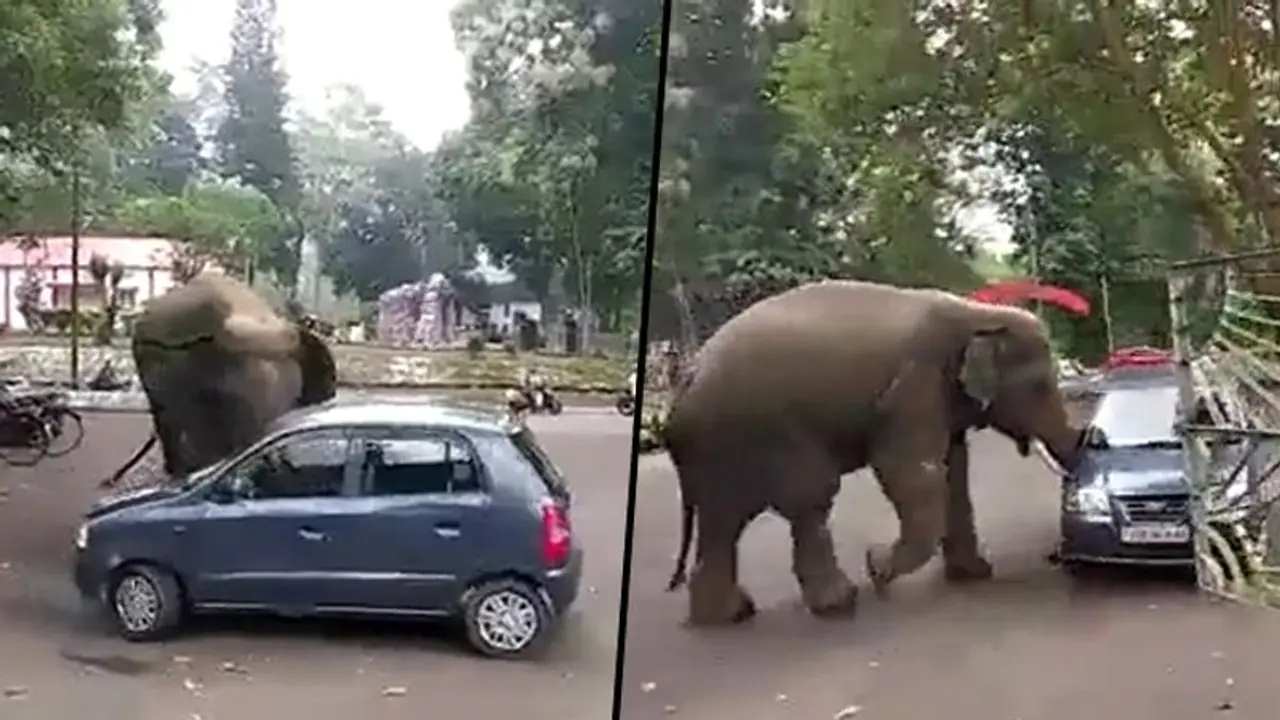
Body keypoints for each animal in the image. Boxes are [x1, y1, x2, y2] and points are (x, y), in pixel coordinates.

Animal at [662, 279, 1090, 627]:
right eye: (1038, 385)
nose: (1054, 555)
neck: (976, 315)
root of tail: (685, 381)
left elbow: (954, 470)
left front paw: (974, 573)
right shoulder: (913, 384)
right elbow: (912, 472)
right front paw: (877, 567)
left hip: (720, 451)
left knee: (723, 522)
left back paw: (729, 616)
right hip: (761, 433)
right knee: (808, 499)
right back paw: (838, 603)